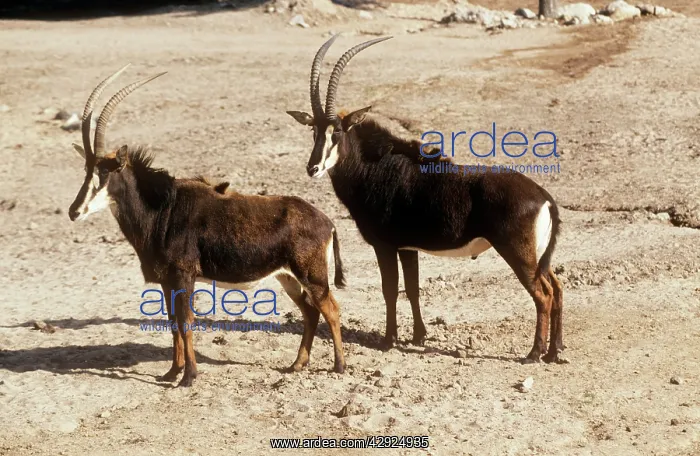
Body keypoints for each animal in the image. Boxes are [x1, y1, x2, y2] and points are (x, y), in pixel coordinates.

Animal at [68, 65, 348, 387]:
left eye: (105, 173)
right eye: (86, 171)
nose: (74, 211)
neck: (162, 208)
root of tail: (327, 222)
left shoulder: (184, 275)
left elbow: (186, 321)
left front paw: (189, 376)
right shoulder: (167, 281)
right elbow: (172, 322)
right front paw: (172, 372)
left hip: (312, 275)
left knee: (331, 309)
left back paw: (339, 365)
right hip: (287, 277)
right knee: (311, 312)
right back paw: (297, 364)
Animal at [287, 36, 565, 364]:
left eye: (338, 132)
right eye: (314, 130)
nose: (313, 168)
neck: (376, 166)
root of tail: (544, 197)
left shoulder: (385, 246)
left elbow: (390, 289)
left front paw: (389, 339)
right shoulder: (408, 248)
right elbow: (412, 288)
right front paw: (419, 336)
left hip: (519, 254)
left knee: (543, 295)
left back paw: (534, 353)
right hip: (539, 258)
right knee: (557, 288)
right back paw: (554, 350)